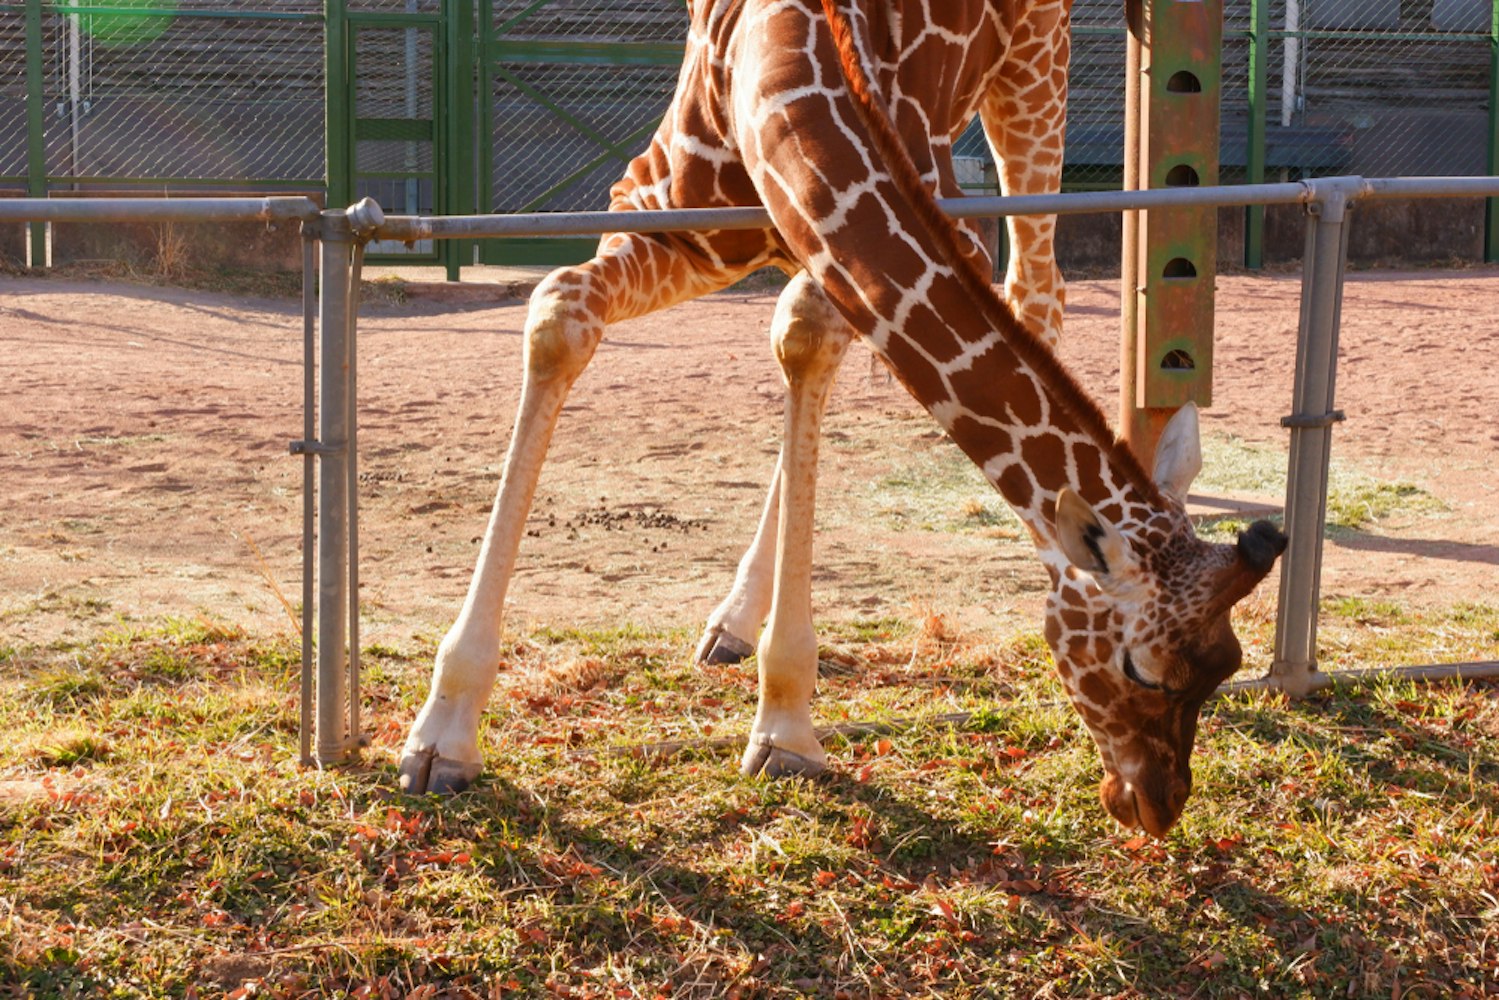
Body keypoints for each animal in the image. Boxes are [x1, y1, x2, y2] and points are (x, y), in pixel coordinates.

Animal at [395, 0, 1277, 839]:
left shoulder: (903, 220)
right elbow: (560, 316)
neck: (783, 46)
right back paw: (732, 621)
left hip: (1034, 68)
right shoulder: (667, 218)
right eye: (1141, 669)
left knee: (1036, 288)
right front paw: (442, 734)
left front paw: (784, 725)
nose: (1155, 802)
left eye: (1227, 665)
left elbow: (806, 344)